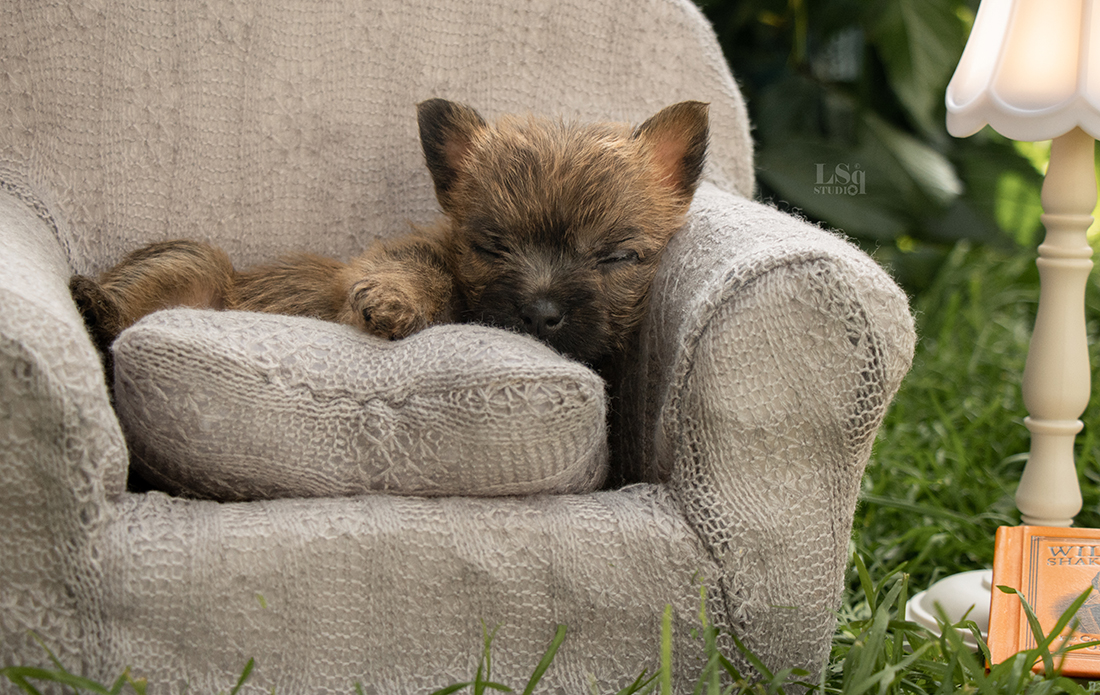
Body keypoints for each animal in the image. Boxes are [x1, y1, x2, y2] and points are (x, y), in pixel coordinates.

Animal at [75, 98, 712, 369]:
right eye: (489, 246)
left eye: (618, 256)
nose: (540, 312)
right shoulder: (407, 253)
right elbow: (412, 269)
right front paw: (391, 302)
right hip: (194, 261)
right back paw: (94, 303)